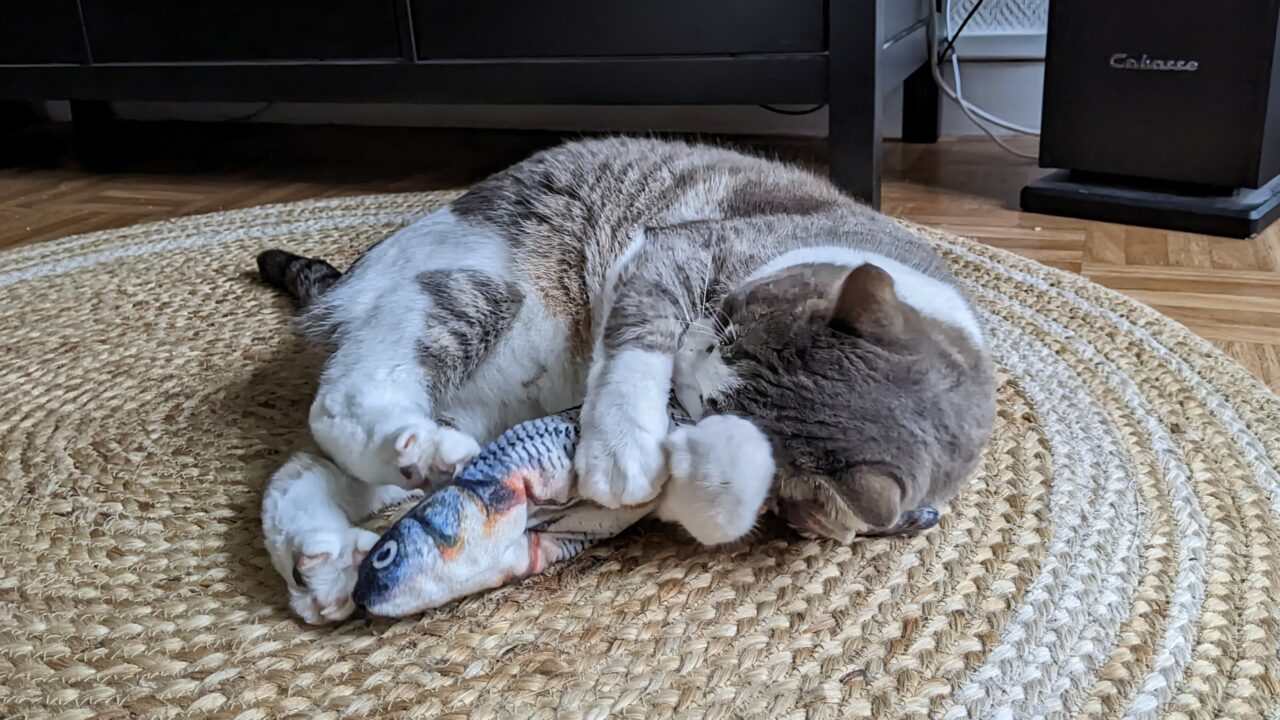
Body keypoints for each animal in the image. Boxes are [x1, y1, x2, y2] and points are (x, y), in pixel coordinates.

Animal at [262, 135, 998, 538]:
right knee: (341, 399)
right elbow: (637, 339)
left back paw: (330, 556)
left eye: (708, 407)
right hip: (478, 289)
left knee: (309, 474)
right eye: (724, 320)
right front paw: (623, 451)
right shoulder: (673, 248)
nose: (692, 355)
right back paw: (420, 452)